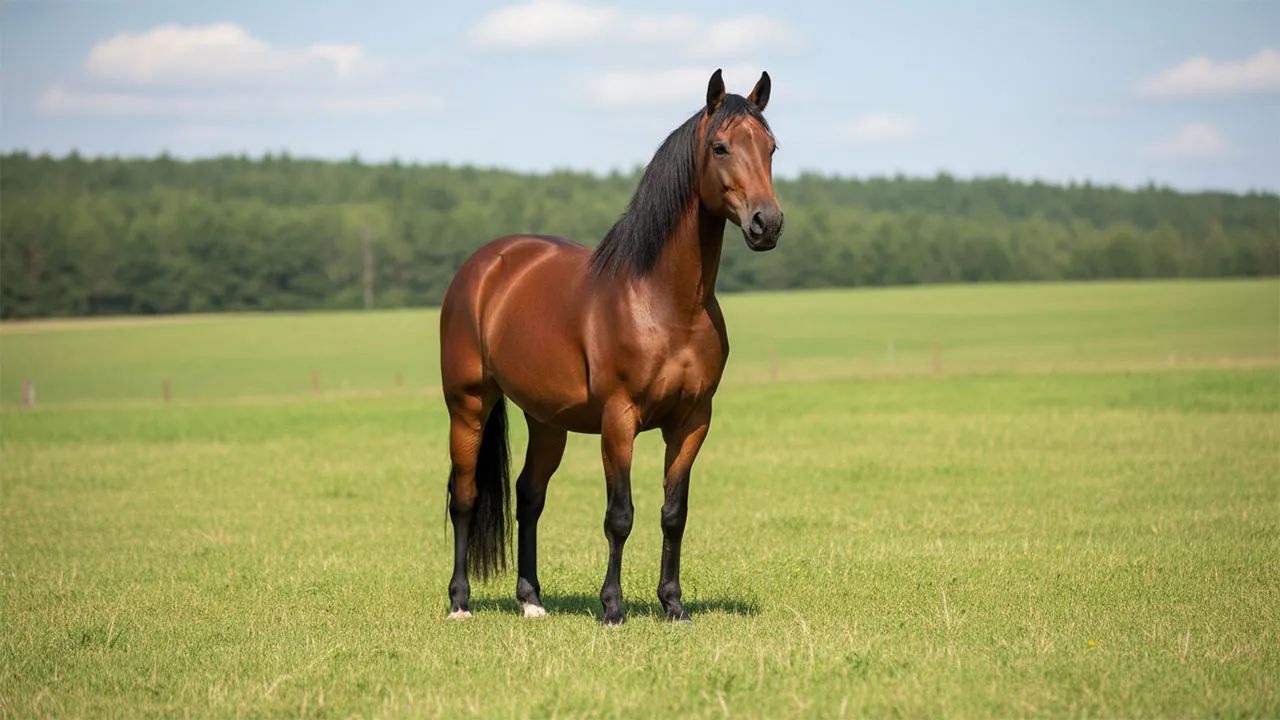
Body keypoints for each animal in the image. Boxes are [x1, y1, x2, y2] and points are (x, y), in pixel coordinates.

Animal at [438, 68, 784, 625]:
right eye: (720, 147)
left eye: (771, 148)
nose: (766, 224)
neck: (667, 302)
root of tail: (484, 264)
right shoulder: (619, 419)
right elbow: (619, 515)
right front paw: (613, 608)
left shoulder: (692, 422)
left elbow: (673, 514)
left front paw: (673, 604)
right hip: (468, 405)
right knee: (465, 497)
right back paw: (460, 602)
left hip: (547, 420)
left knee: (529, 496)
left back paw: (531, 600)